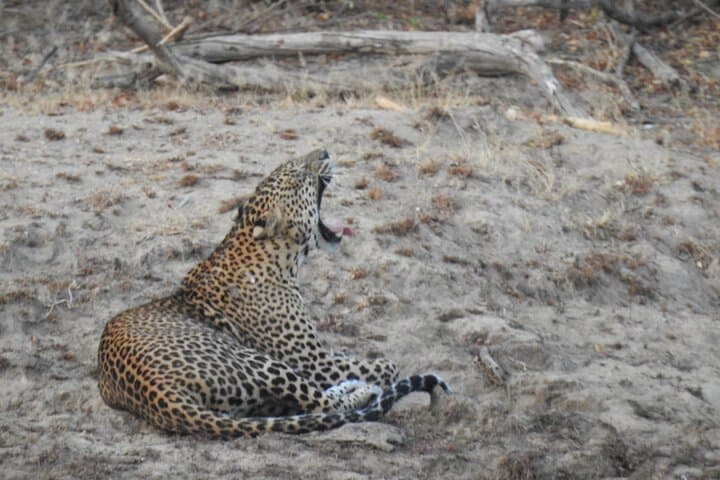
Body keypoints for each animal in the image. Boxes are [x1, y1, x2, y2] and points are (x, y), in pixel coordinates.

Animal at [97, 149, 449, 438]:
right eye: (297, 174)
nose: (325, 151)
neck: (280, 259)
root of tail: (160, 394)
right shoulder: (314, 361)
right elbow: (387, 365)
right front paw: (371, 376)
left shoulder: (318, 356)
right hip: (257, 361)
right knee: (323, 403)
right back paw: (360, 390)